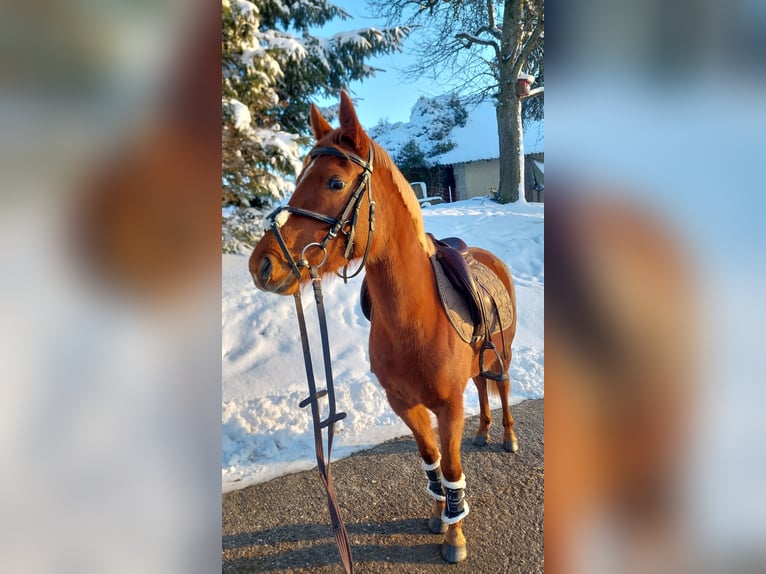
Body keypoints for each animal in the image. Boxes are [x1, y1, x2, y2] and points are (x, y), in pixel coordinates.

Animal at [249, 91, 518, 564]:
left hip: (504, 352)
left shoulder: (448, 406)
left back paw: (506, 436)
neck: (414, 321)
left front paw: (454, 534)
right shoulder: (404, 404)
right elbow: (430, 460)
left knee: (500, 387)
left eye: (335, 183)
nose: (262, 265)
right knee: (483, 388)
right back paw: (484, 431)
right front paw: (438, 516)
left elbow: (451, 467)